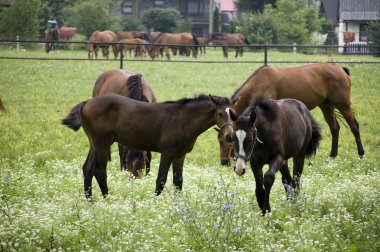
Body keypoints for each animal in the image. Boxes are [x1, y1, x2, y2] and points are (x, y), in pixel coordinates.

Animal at [61, 93, 236, 198]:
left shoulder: (180, 154)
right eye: (220, 114)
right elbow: (161, 180)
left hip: (95, 143)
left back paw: (90, 201)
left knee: (87, 169)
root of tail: (86, 103)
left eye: (233, 114)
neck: (184, 119)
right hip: (102, 143)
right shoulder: (168, 151)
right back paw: (106, 198)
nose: (229, 136)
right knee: (100, 171)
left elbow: (178, 180)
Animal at [217, 63, 362, 165]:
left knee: (354, 126)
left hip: (343, 105)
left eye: (227, 140)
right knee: (334, 128)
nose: (224, 162)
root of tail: (340, 69)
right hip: (326, 106)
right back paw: (332, 156)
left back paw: (361, 154)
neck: (258, 82)